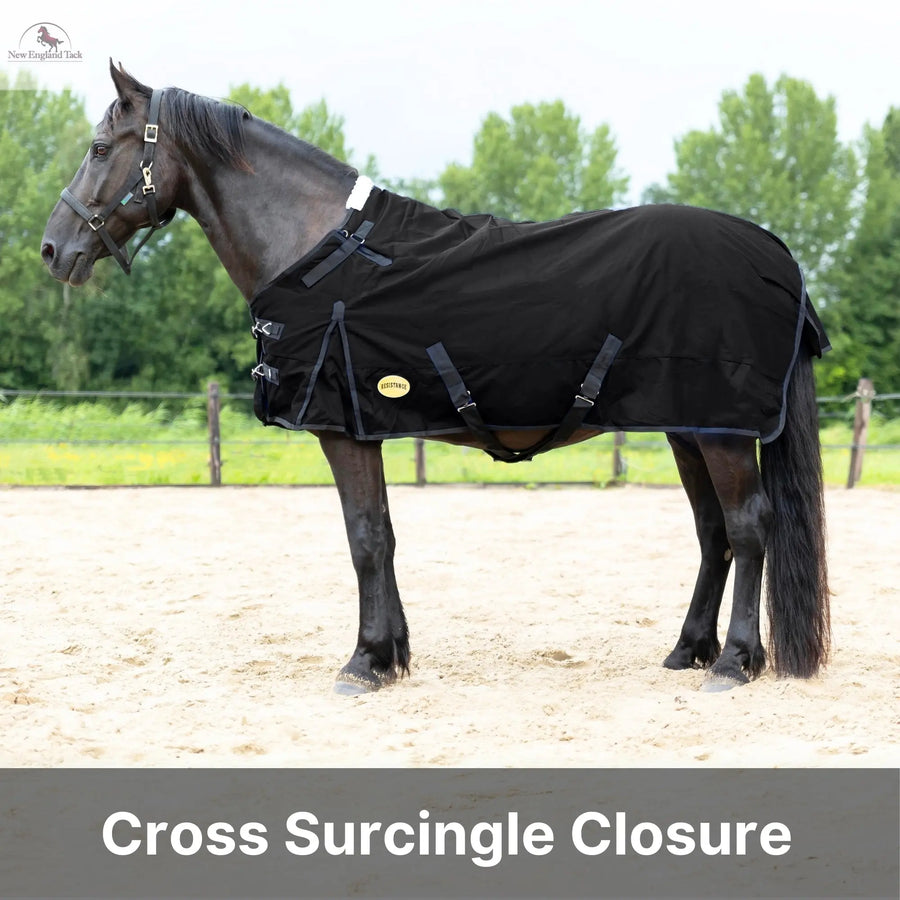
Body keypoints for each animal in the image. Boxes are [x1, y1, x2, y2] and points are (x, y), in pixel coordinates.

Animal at [41, 62, 830, 694]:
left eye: (99, 148)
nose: (53, 248)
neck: (319, 248)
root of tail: (772, 251)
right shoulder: (364, 427)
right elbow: (384, 535)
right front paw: (392, 656)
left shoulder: (342, 429)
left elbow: (363, 537)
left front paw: (364, 663)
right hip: (688, 427)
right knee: (712, 530)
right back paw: (688, 650)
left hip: (719, 430)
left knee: (749, 526)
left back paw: (734, 662)